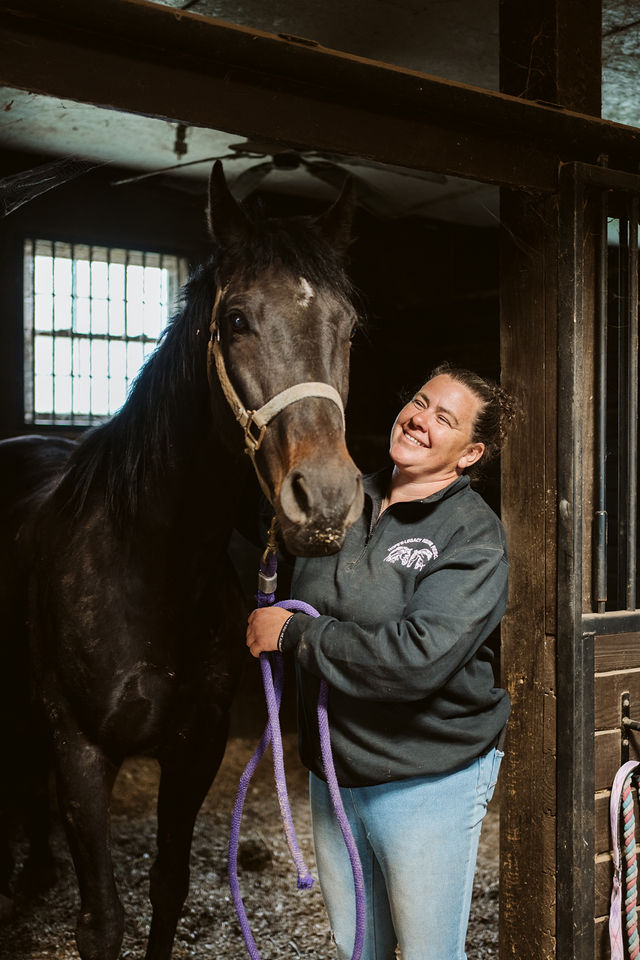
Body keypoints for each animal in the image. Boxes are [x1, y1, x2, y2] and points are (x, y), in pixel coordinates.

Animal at [0, 160, 363, 960]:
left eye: (349, 326)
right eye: (237, 321)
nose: (325, 501)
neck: (149, 566)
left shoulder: (194, 750)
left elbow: (168, 888)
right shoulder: (80, 750)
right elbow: (102, 921)